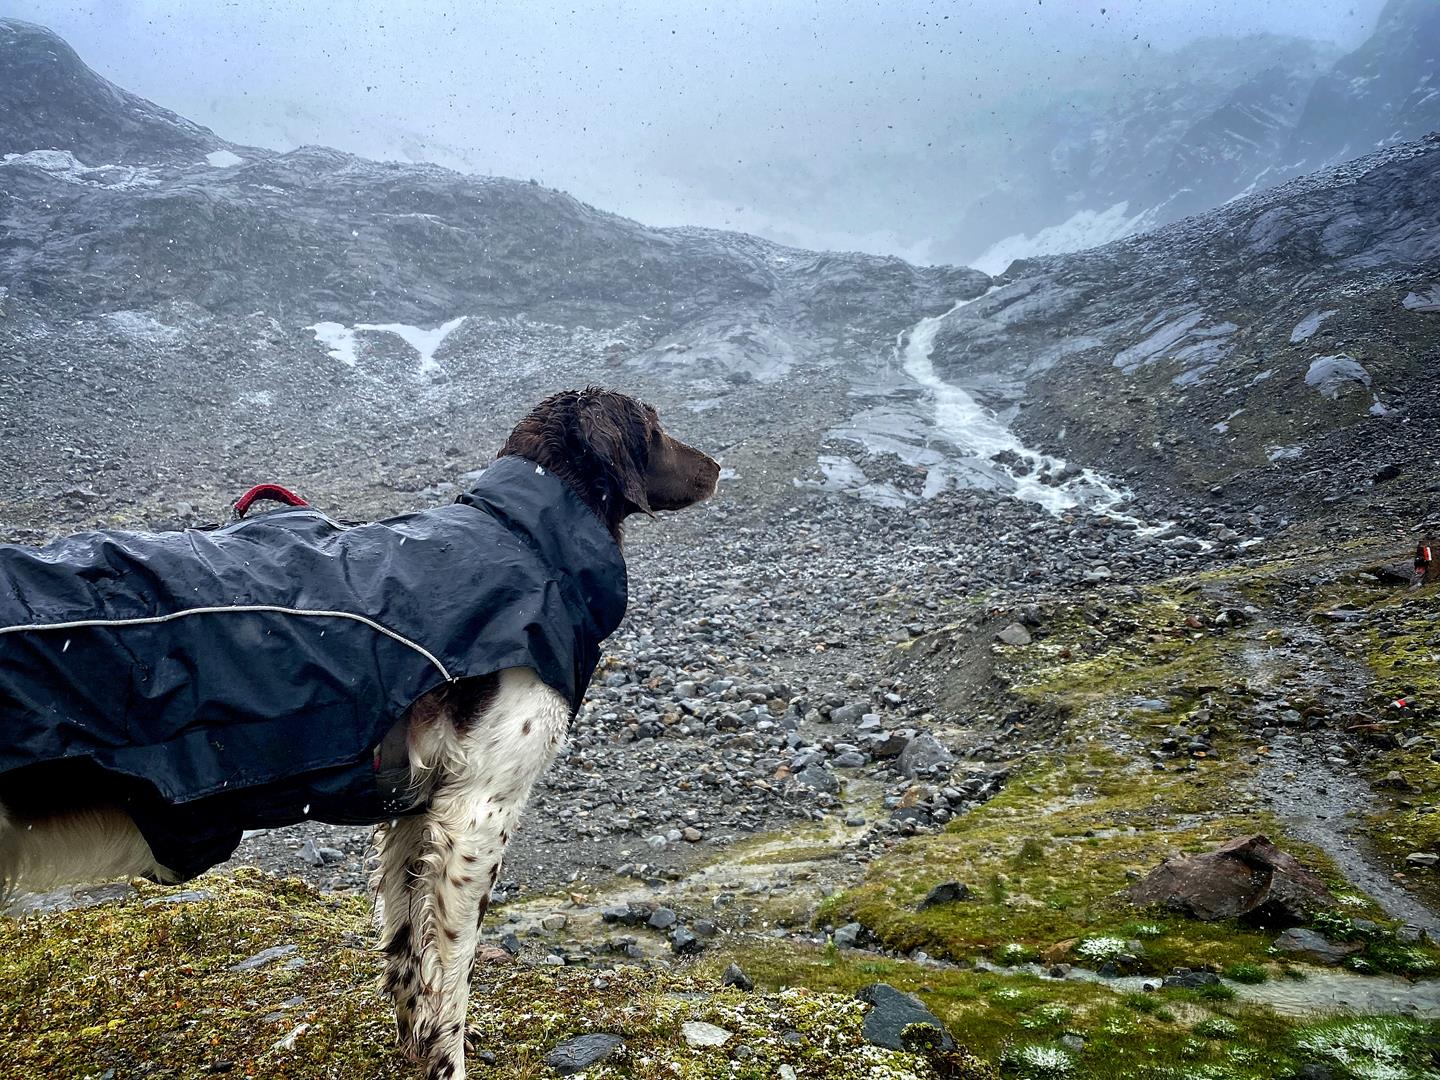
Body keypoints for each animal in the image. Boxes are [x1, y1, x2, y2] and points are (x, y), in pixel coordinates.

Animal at [0, 391, 720, 1080]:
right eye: (653, 427)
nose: (715, 467)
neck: (525, 536)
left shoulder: (412, 814)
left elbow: (407, 961)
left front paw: (415, 1052)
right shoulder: (478, 814)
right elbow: (451, 975)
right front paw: (448, 1064)